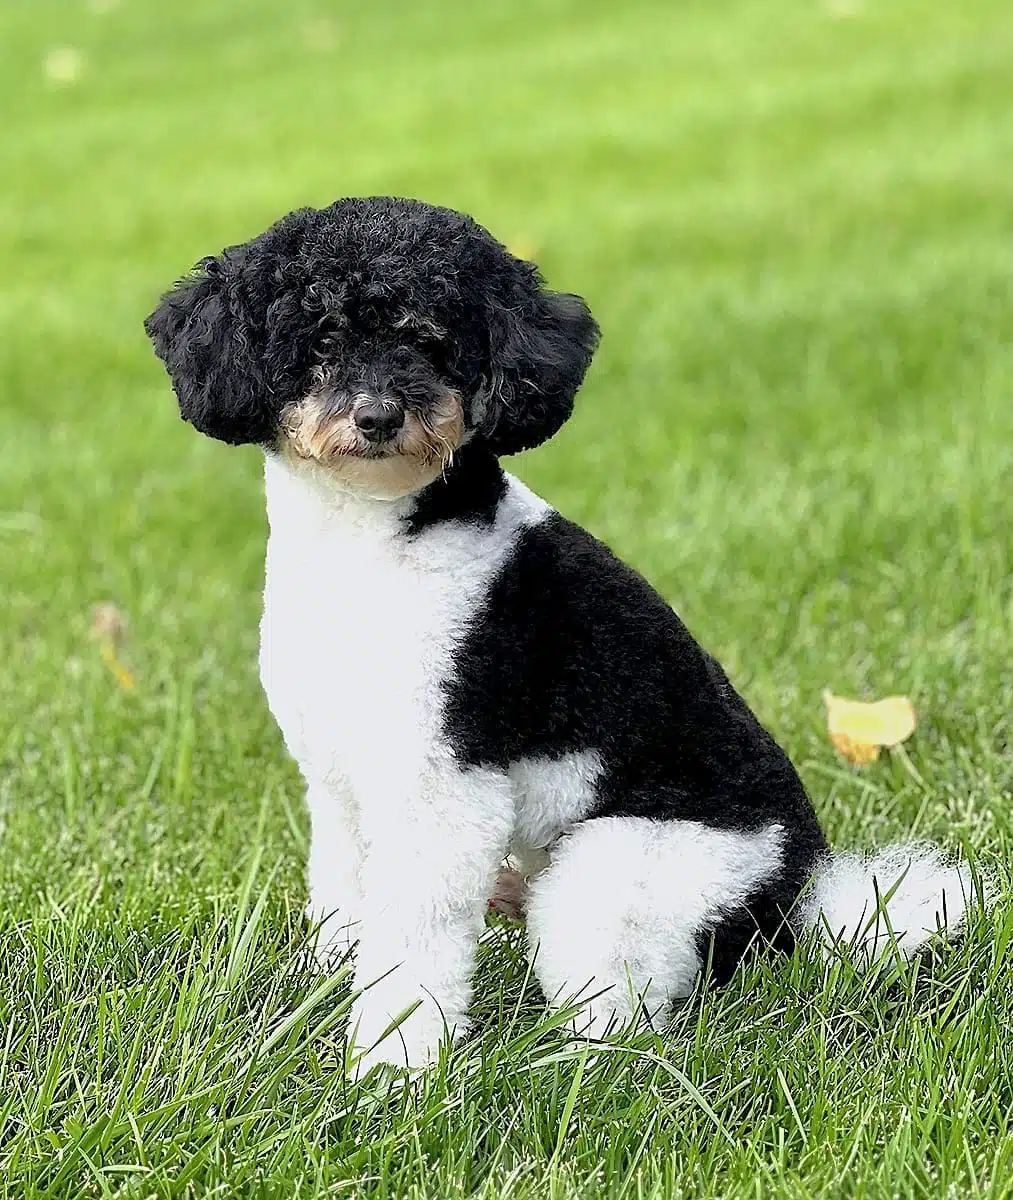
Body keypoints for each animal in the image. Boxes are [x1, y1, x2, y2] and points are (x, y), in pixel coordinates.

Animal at [146, 196, 979, 1070]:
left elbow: (414, 944)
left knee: (620, 1017)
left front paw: (394, 1069)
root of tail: (797, 893)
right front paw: (324, 988)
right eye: (321, 339)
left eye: (433, 343)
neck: (374, 540)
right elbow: (344, 893)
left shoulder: (440, 791)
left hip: (623, 873)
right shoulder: (340, 779)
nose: (378, 416)